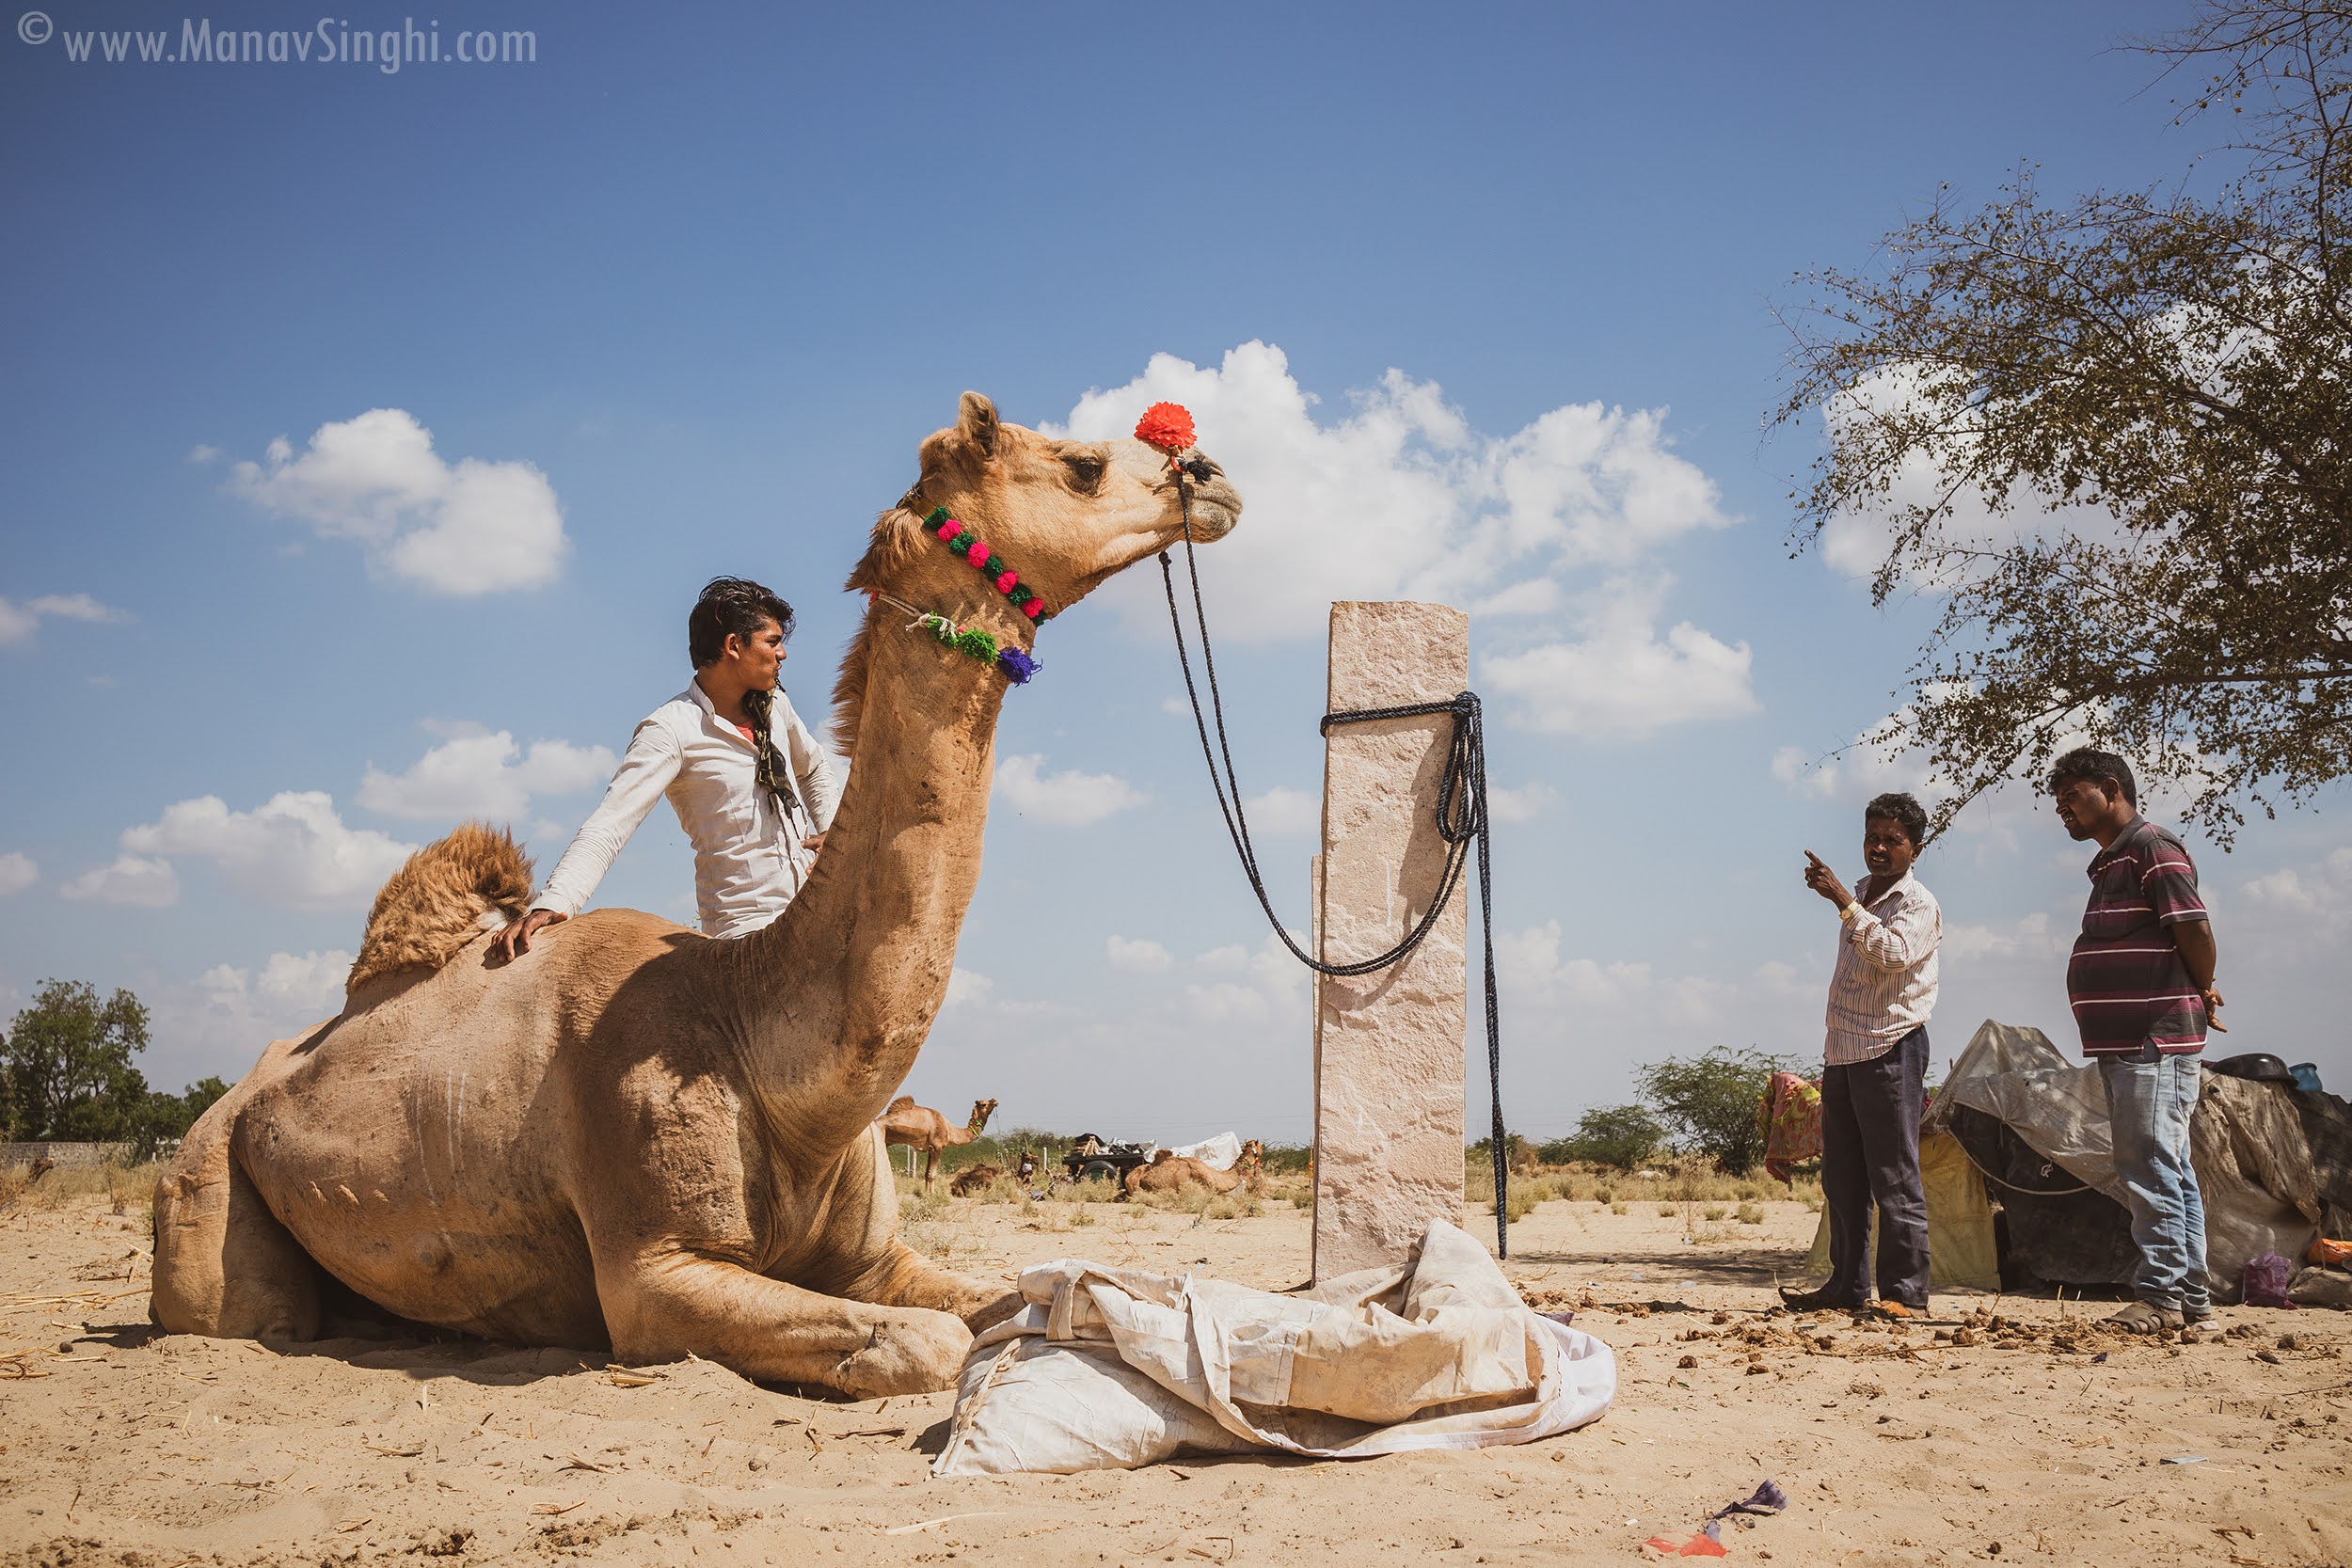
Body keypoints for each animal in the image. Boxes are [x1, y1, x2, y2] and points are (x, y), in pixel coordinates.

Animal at [147, 392, 1242, 1401]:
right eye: (1082, 464)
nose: (1211, 474)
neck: (759, 1035)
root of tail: (249, 1083)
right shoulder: (653, 1270)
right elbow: (930, 1342)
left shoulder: (874, 1257)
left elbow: (1037, 1289)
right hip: (207, 1171)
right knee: (241, 1309)